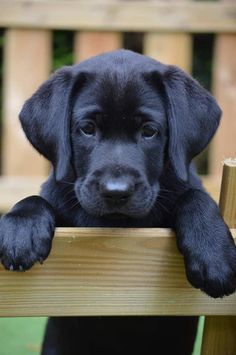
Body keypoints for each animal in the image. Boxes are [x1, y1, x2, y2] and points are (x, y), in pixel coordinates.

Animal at [0, 50, 236, 355]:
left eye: (149, 131)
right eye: (87, 129)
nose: (116, 192)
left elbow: (194, 195)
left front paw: (213, 254)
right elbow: (37, 199)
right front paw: (21, 230)